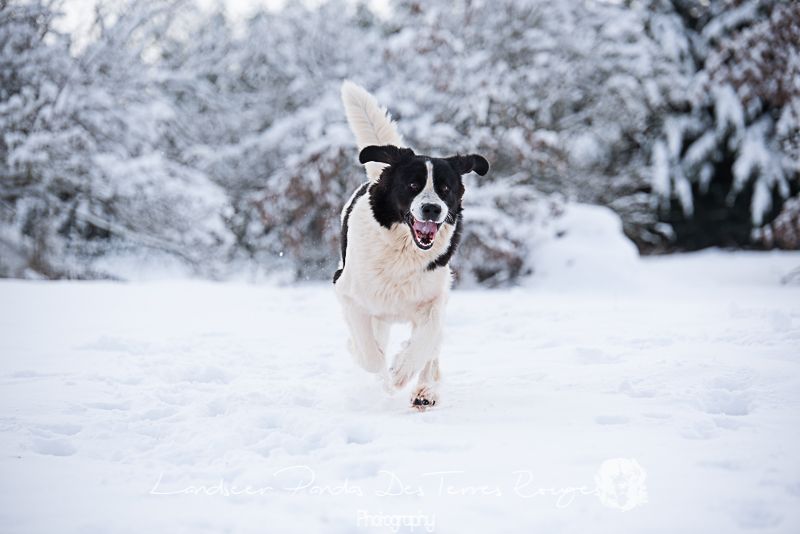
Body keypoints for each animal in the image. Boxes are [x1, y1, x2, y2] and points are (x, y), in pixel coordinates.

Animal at [332, 81, 488, 412]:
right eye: (413, 185)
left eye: (445, 188)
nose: (432, 209)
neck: (402, 252)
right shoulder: (348, 293)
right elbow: (368, 352)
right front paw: (385, 375)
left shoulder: (434, 299)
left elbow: (425, 341)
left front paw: (403, 372)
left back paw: (425, 391)